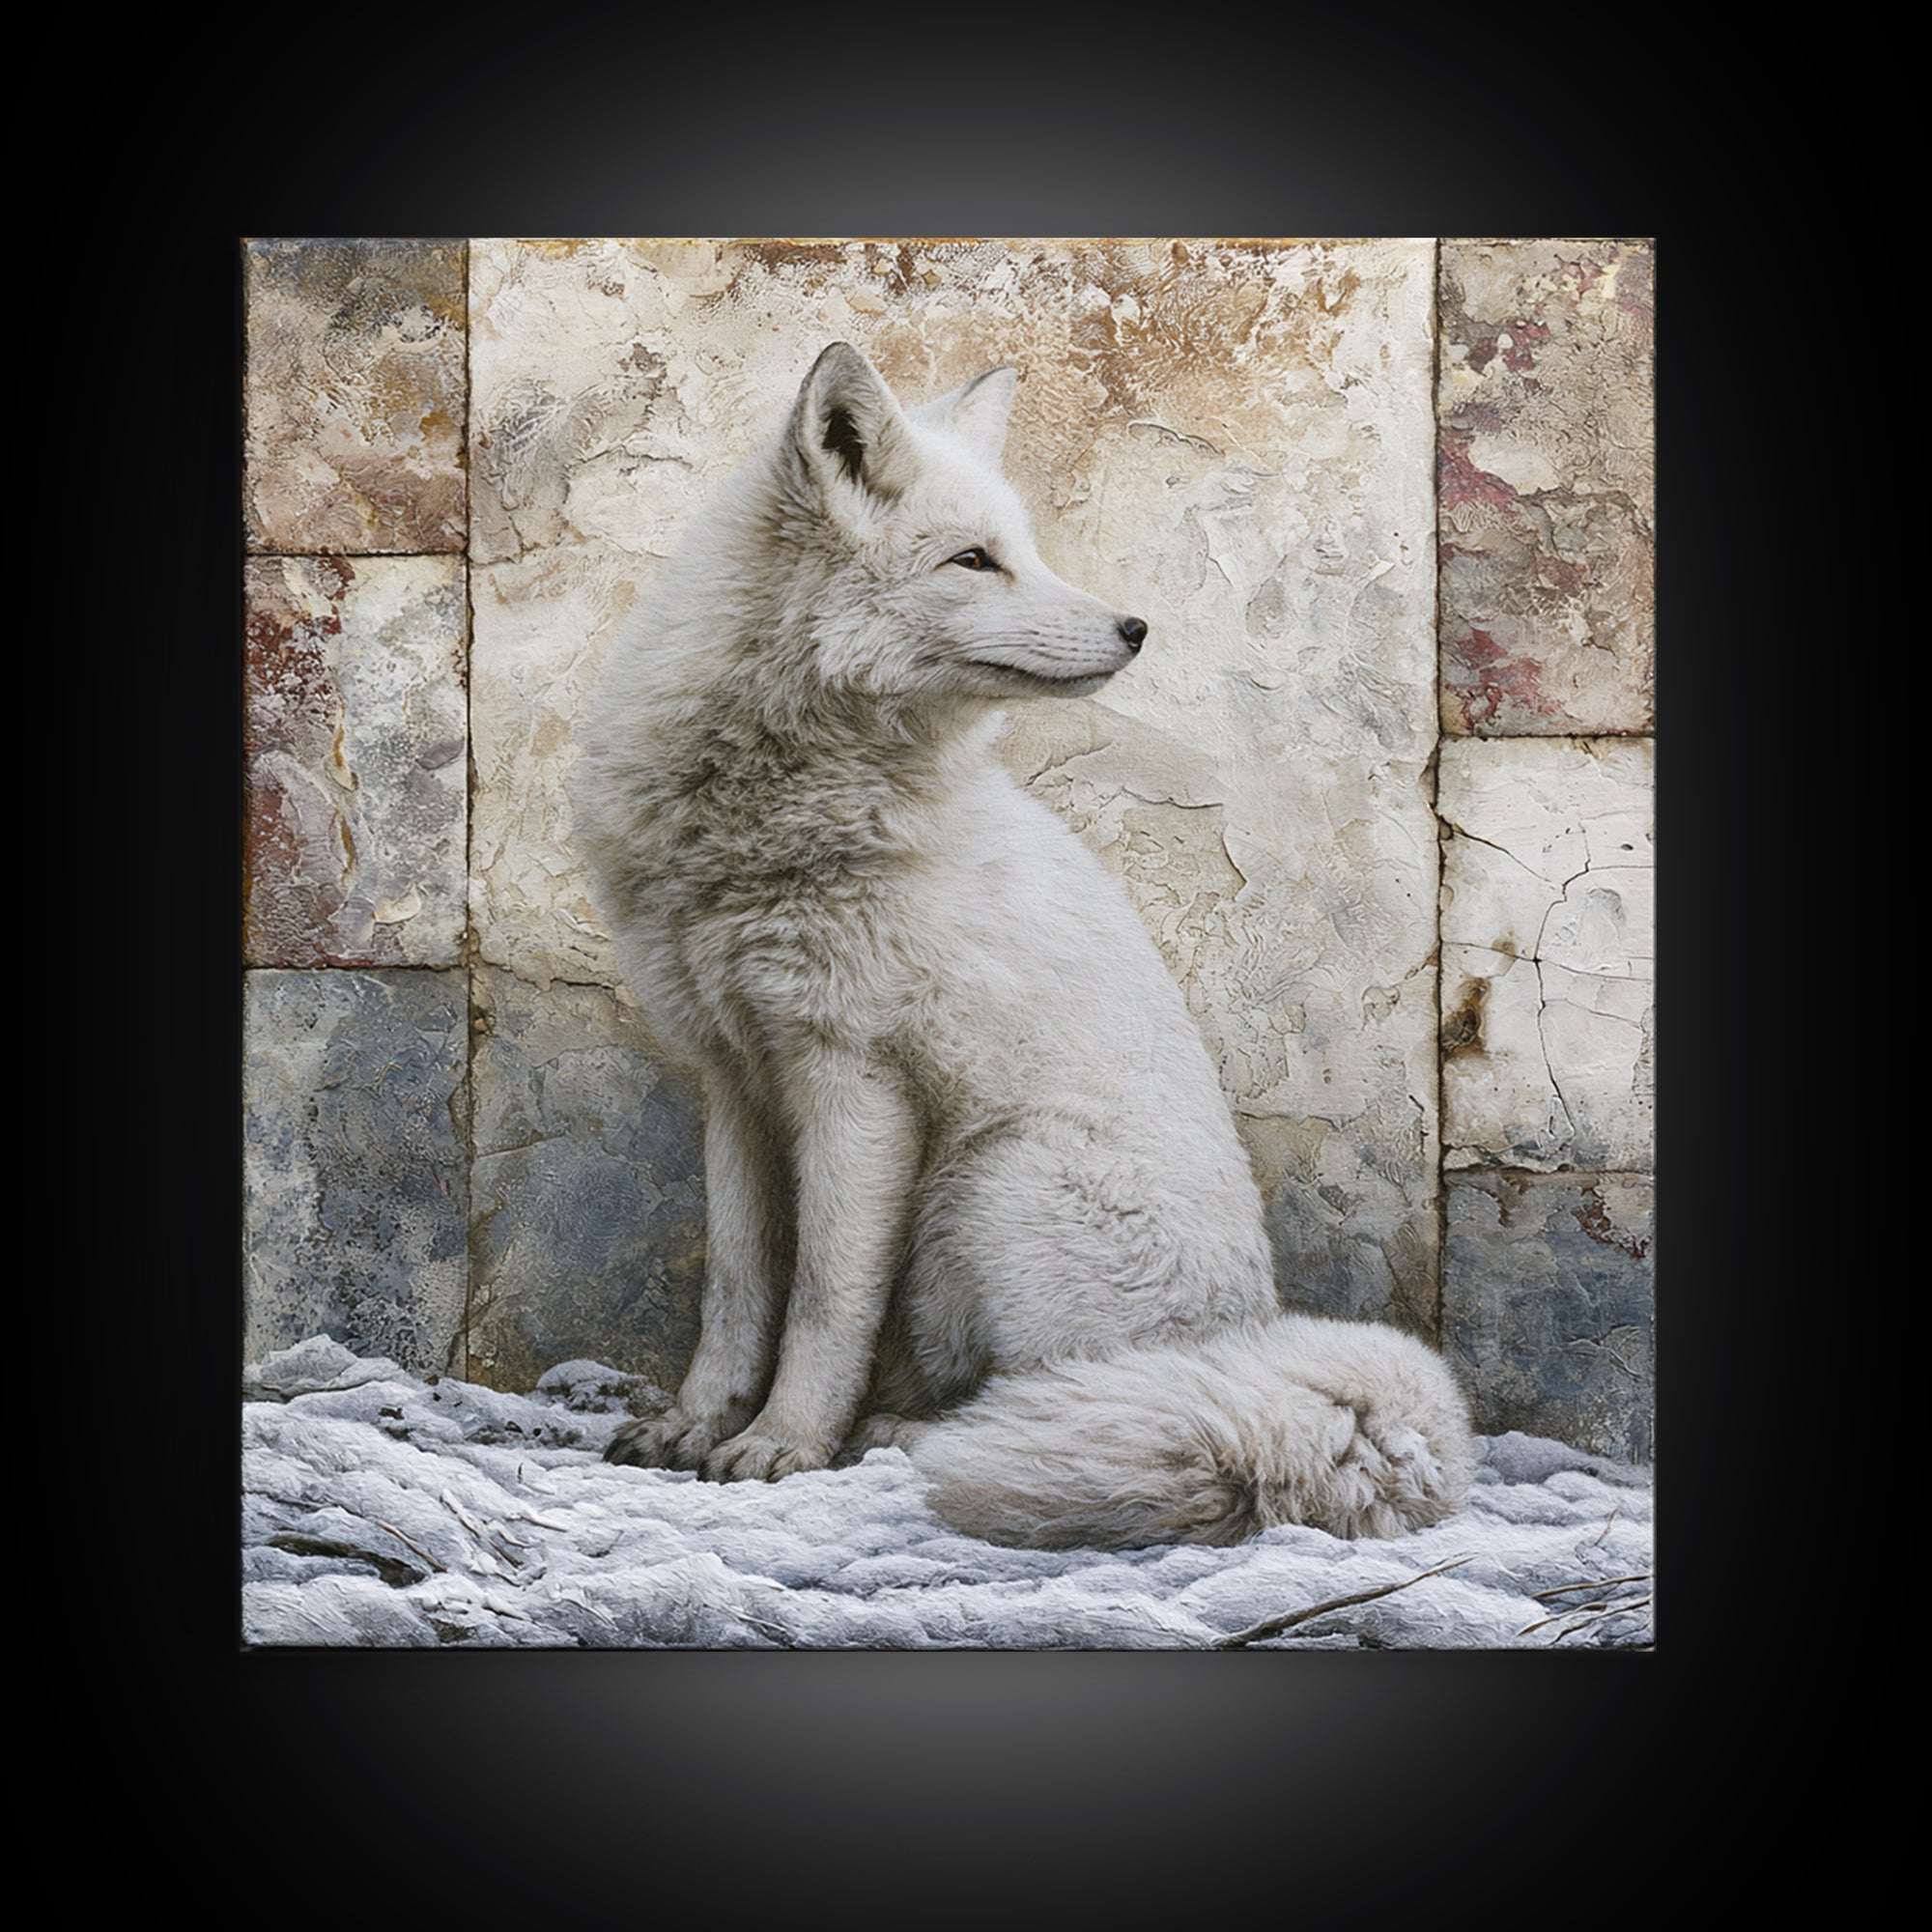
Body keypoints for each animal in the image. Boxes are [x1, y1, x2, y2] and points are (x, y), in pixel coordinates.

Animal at [573, 341, 1474, 1548]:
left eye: (1024, 550)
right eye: (973, 559)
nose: (1135, 628)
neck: (764, 829)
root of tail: (1242, 1338)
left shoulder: (856, 1078)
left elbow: (823, 1297)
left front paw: (782, 1442)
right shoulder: (735, 1075)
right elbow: (737, 1287)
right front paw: (695, 1423)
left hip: (985, 1183)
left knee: (1039, 1396)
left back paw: (907, 1435)